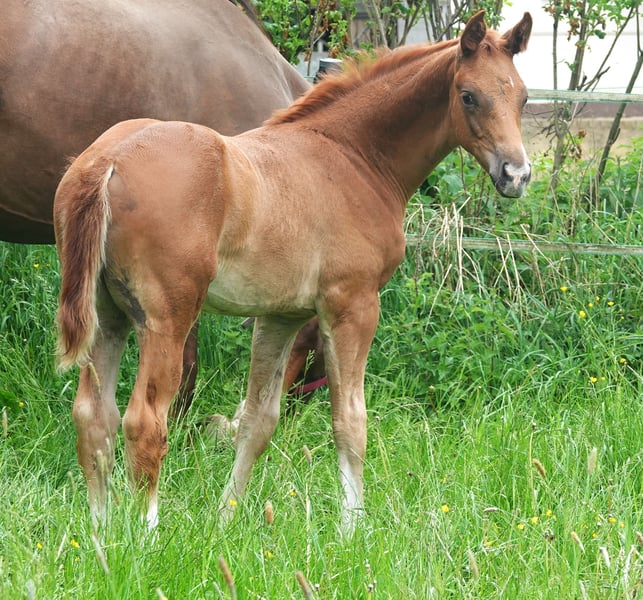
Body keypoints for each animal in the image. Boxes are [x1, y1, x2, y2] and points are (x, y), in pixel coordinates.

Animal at [53, 10, 532, 531]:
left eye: (523, 96)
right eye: (468, 95)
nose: (516, 175)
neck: (352, 158)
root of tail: (108, 161)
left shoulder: (279, 316)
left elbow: (259, 421)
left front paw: (226, 520)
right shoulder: (352, 304)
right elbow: (349, 421)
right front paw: (352, 527)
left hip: (109, 314)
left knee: (94, 416)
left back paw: (100, 535)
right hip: (167, 319)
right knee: (144, 420)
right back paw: (146, 535)